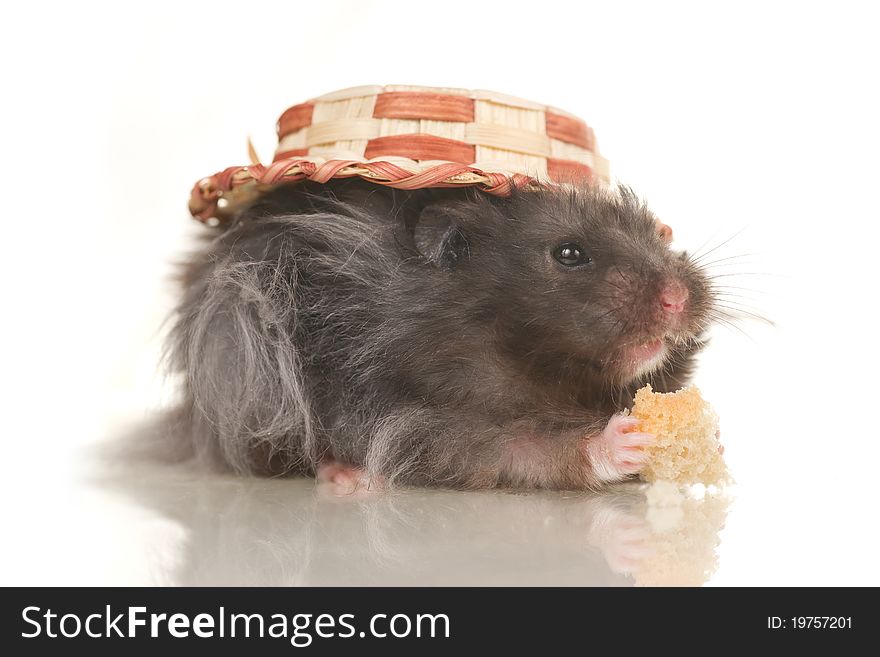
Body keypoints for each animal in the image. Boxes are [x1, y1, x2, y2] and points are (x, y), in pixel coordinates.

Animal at [170, 177, 716, 490]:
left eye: (658, 234)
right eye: (569, 253)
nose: (676, 298)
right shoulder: (411, 420)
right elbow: (521, 448)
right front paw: (627, 438)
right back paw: (346, 478)